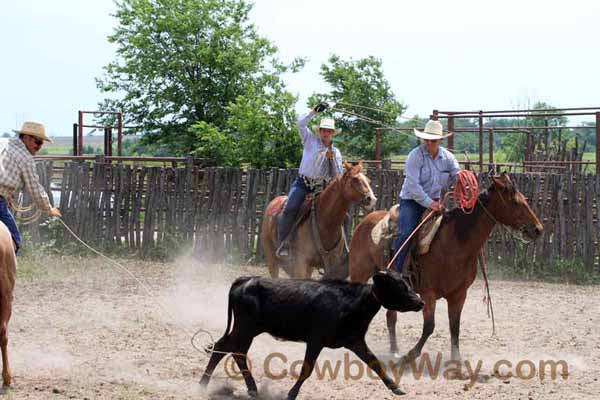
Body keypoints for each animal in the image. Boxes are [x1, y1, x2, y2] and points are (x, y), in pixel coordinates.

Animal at [346, 172, 544, 362]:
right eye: (515, 202)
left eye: (524, 199)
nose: (538, 229)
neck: (455, 242)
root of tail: (365, 220)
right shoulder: (429, 293)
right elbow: (429, 327)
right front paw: (409, 356)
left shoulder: (459, 294)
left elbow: (454, 327)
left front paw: (456, 359)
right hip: (359, 272)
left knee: (391, 316)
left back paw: (394, 350)